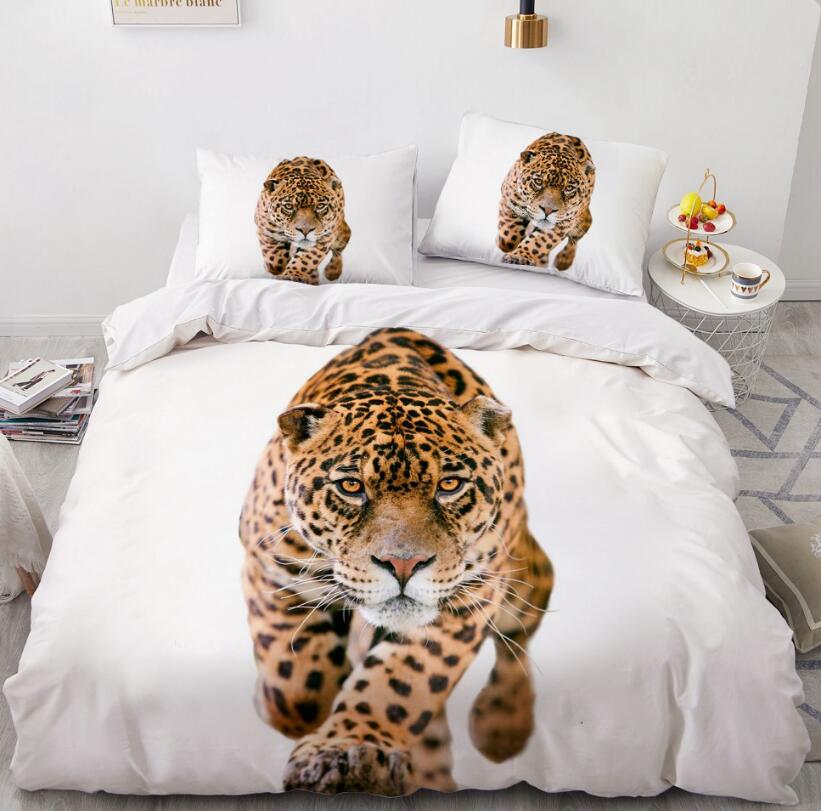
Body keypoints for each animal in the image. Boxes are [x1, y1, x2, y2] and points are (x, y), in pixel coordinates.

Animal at [239, 328, 554, 795]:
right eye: (351, 486)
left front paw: (351, 749)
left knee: (522, 630)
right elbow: (295, 685)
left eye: (450, 485)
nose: (404, 565)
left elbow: (400, 683)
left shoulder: (465, 600)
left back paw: (501, 726)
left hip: (519, 578)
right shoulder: (272, 568)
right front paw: (287, 703)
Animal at [254, 156, 352, 285]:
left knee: (341, 245)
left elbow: (306, 259)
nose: (305, 230)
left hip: (340, 233)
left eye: (320, 206)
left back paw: (332, 272)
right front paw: (276, 267)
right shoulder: (264, 228)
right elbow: (273, 259)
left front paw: (291, 275)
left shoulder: (325, 237)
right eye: (289, 206)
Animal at [497, 132, 596, 271]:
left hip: (582, 221)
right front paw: (504, 243)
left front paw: (519, 257)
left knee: (575, 239)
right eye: (538, 181)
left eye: (569, 188)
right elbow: (508, 237)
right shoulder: (509, 202)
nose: (548, 210)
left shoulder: (562, 224)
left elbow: (539, 242)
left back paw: (563, 261)